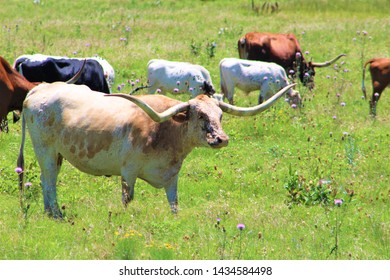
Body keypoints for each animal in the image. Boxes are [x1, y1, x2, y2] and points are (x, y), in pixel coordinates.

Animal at [16, 82, 294, 218]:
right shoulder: (128, 171)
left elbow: (174, 203)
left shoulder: (172, 176)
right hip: (45, 151)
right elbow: (127, 199)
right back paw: (55, 213)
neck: (166, 132)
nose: (221, 139)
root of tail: (39, 90)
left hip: (57, 154)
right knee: (49, 181)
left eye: (220, 116)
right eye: (200, 115)